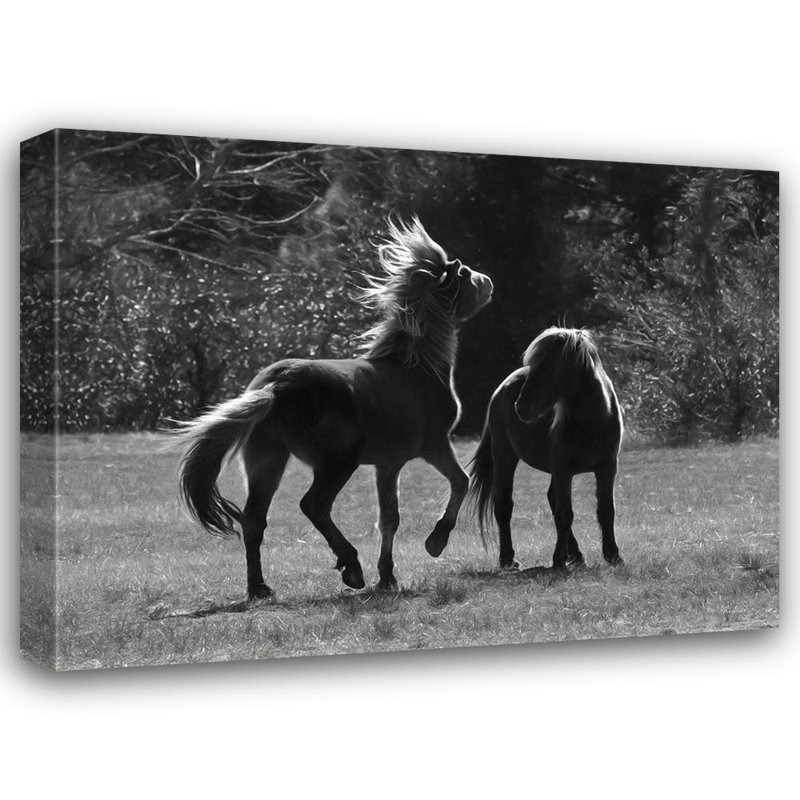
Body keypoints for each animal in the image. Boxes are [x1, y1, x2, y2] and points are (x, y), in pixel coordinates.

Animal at [175, 217, 493, 599]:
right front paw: (436, 540)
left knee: (254, 520)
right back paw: (350, 567)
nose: (488, 282)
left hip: (267, 462)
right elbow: (460, 482)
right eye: (465, 274)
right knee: (314, 505)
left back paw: (260, 588)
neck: (416, 365)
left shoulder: (388, 464)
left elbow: (389, 518)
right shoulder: (434, 446)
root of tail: (277, 386)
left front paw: (387, 576)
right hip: (339, 462)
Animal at [467, 327, 623, 571]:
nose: (521, 407)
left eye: (550, 367)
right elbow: (565, 513)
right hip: (504, 457)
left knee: (551, 499)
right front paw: (558, 559)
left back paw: (576, 554)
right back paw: (507, 558)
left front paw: (613, 555)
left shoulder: (607, 468)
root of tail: (501, 389)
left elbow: (606, 510)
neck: (593, 422)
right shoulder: (563, 470)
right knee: (503, 505)